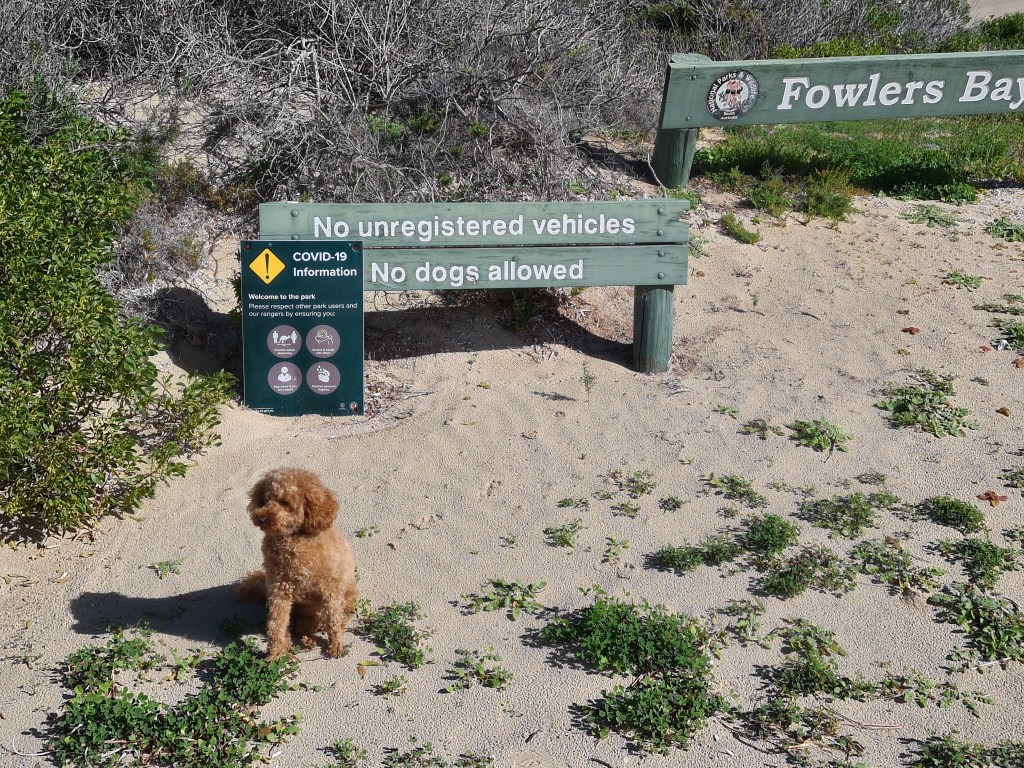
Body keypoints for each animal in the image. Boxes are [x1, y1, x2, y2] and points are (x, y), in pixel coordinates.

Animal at [236, 468, 358, 659]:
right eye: (266, 499)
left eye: (286, 503)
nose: (261, 518)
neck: (294, 539)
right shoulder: (279, 589)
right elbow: (276, 624)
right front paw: (275, 654)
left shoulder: (329, 588)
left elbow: (333, 619)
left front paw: (336, 646)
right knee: (296, 626)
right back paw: (297, 641)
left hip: (343, 601)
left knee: (314, 623)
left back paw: (308, 639)